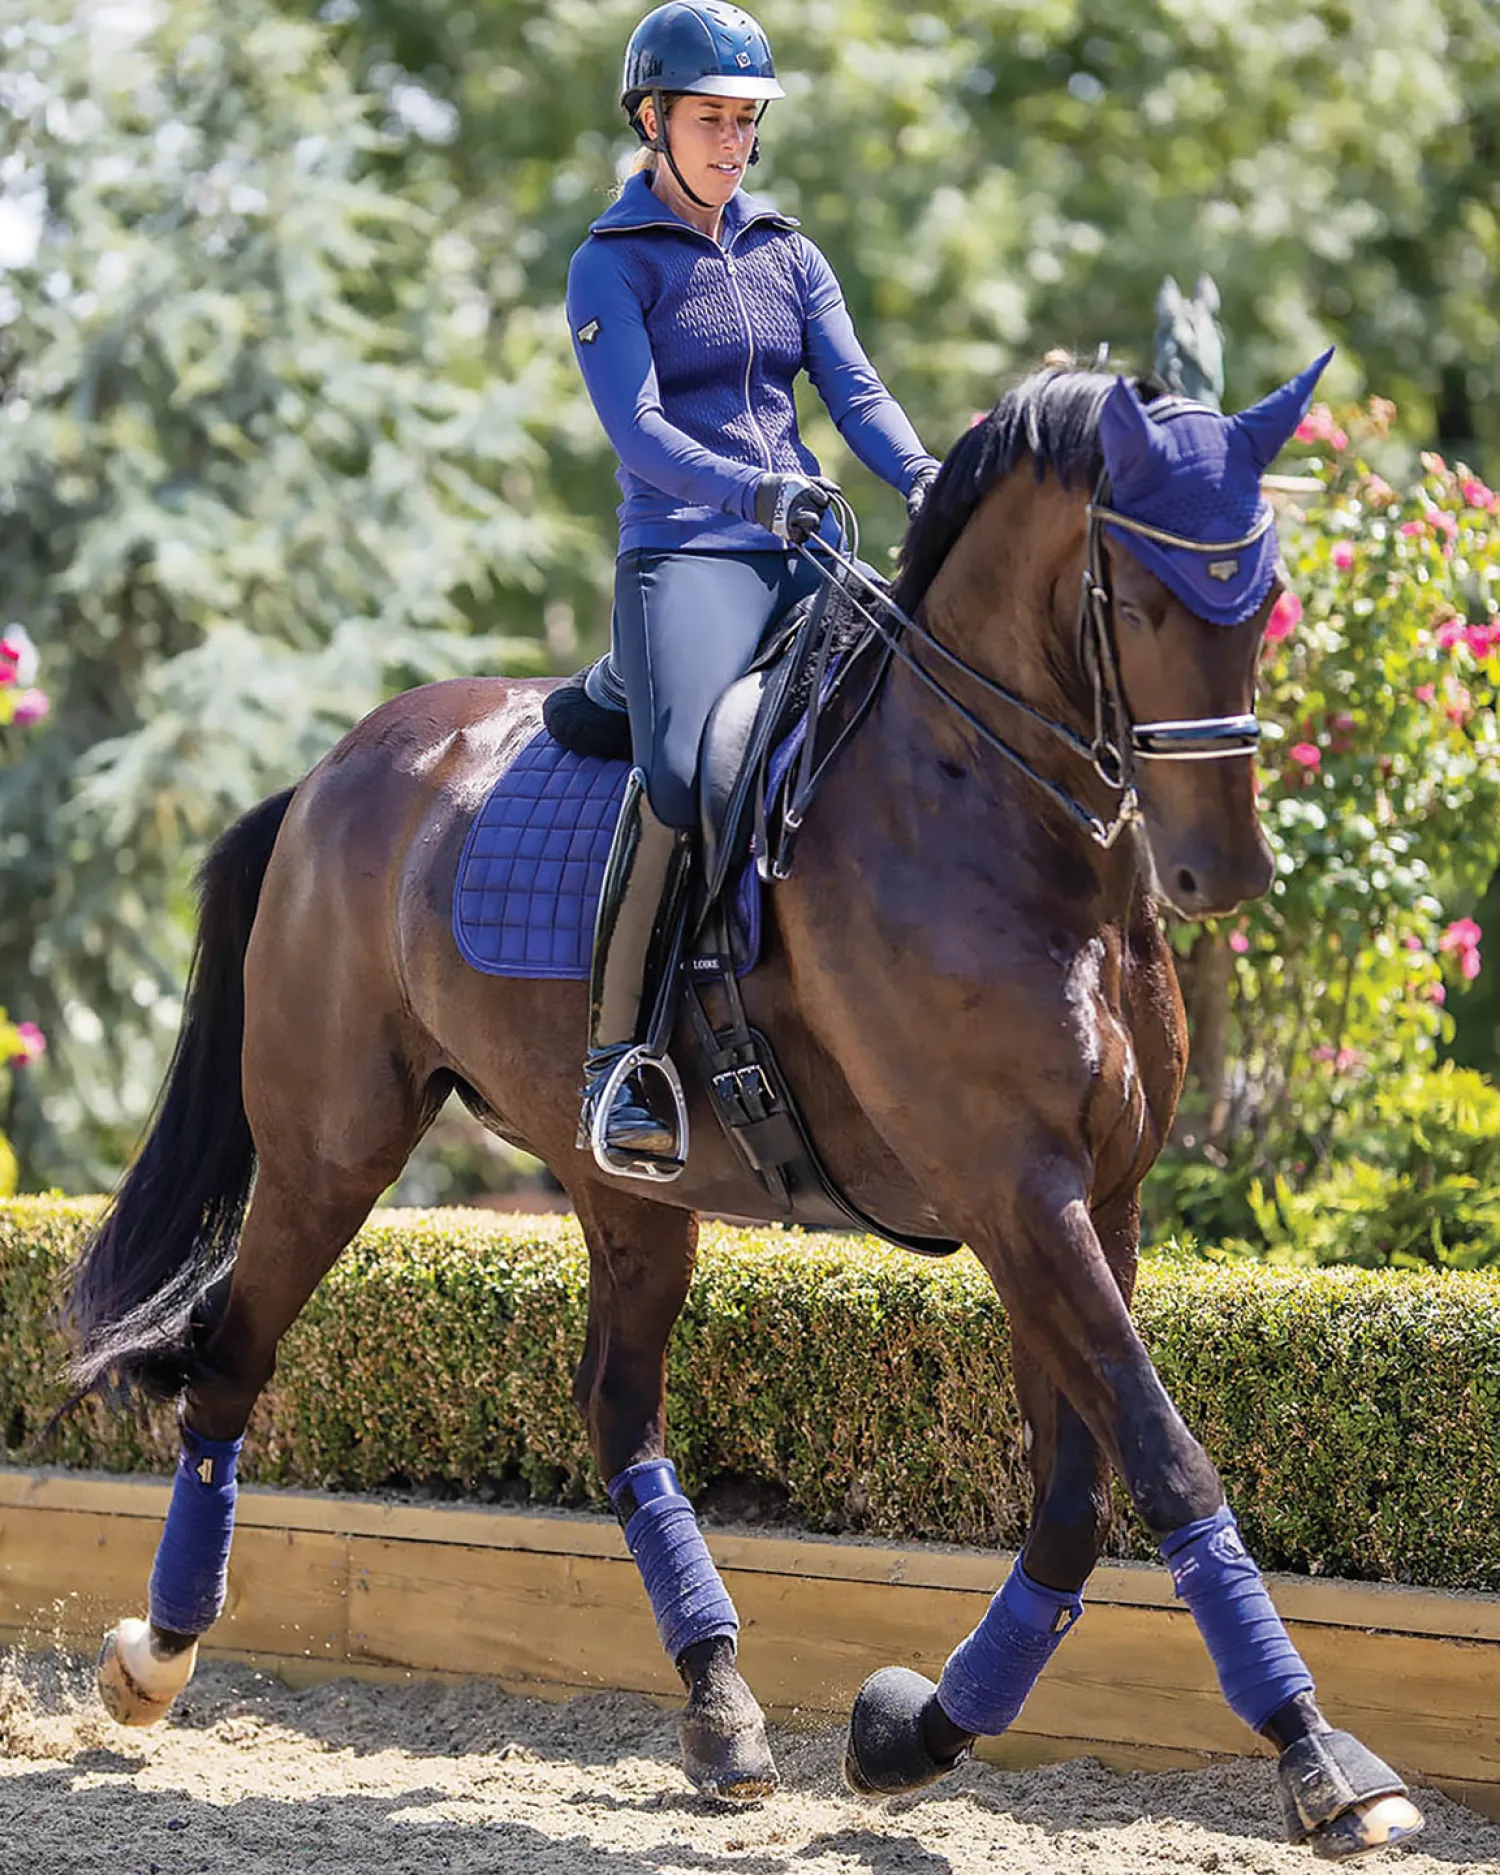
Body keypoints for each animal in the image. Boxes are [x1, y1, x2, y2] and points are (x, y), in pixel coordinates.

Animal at [65, 360, 1423, 1860]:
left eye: (1267, 591)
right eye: (1137, 602)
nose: (1221, 870)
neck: (996, 815)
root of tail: (328, 774)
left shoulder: (1089, 1202)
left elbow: (1077, 1500)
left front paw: (911, 1730)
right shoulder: (1016, 1190)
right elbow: (1168, 1459)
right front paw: (1321, 1759)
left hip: (624, 1191)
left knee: (618, 1413)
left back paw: (721, 1705)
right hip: (328, 1152)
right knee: (232, 1366)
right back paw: (155, 1657)